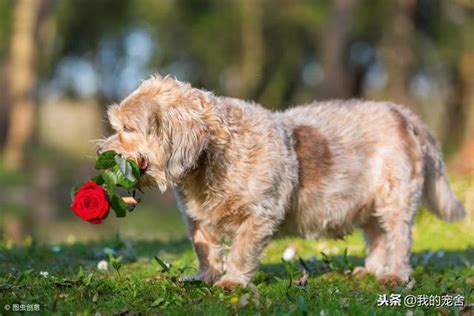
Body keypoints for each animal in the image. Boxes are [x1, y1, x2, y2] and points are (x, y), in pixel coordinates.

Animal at [98, 74, 464, 292]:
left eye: (128, 129)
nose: (101, 150)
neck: (214, 156)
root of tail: (403, 114)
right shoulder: (197, 221)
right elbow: (206, 251)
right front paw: (204, 277)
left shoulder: (259, 216)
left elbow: (241, 251)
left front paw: (232, 281)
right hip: (368, 207)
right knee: (377, 239)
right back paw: (371, 271)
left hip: (393, 202)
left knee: (398, 239)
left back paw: (394, 275)